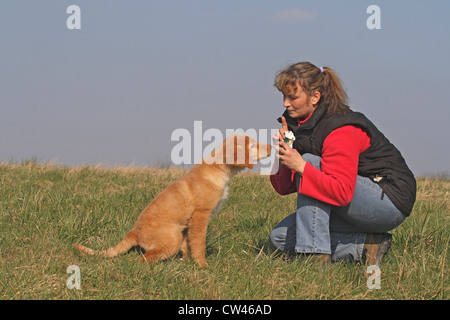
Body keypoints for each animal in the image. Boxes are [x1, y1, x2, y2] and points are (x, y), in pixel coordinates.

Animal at [74, 135, 270, 268]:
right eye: (253, 145)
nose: (270, 146)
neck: (218, 170)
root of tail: (133, 232)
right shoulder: (200, 216)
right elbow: (199, 244)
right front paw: (202, 266)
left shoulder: (190, 223)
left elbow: (189, 246)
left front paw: (189, 262)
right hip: (172, 236)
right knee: (144, 259)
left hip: (178, 232)